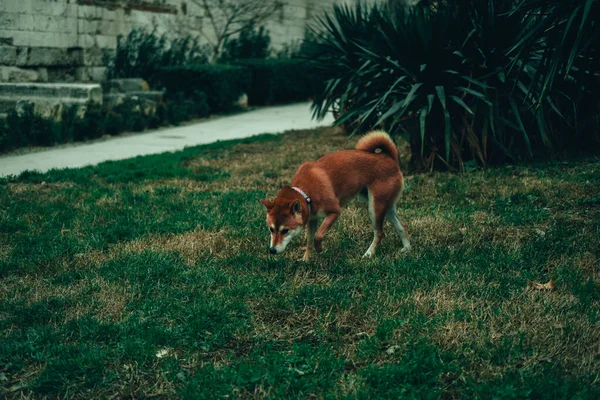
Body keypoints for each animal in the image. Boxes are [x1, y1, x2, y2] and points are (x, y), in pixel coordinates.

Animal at [262, 131, 412, 260]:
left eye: (285, 231)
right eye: (271, 229)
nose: (272, 250)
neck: (306, 193)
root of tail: (389, 158)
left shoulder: (334, 212)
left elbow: (317, 236)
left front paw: (319, 249)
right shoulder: (312, 219)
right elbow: (309, 240)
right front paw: (306, 259)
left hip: (375, 208)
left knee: (379, 233)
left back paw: (369, 254)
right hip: (385, 206)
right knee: (402, 226)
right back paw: (407, 248)